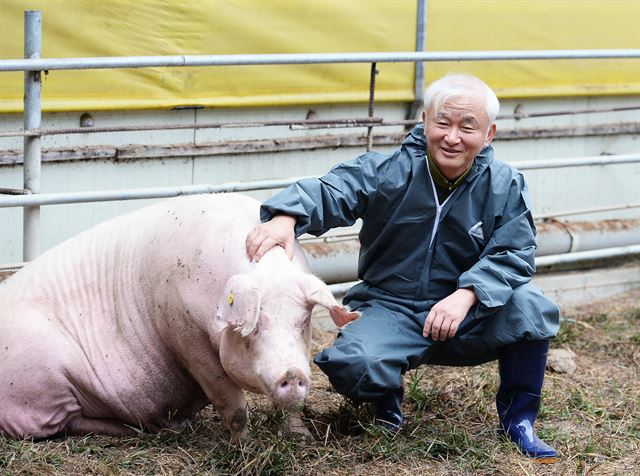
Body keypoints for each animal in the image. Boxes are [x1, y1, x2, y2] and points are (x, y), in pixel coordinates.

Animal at [0, 192, 360, 438]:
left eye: (303, 322)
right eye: (255, 327)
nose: (293, 374)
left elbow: (290, 408)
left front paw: (300, 437)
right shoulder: (181, 328)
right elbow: (231, 401)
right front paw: (243, 444)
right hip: (46, 375)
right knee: (61, 424)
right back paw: (156, 428)